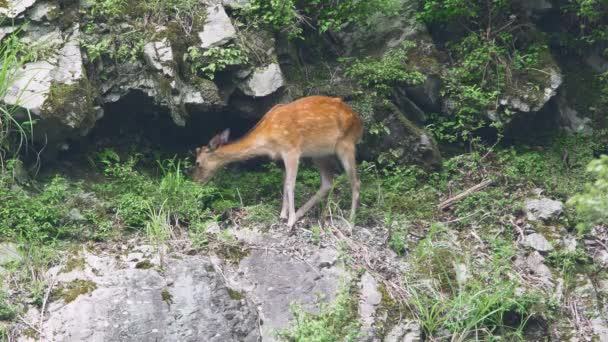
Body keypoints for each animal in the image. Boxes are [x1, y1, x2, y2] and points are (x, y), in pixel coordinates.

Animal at [192, 95, 364, 228]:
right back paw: (303, 213)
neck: (267, 139)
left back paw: (350, 222)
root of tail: (359, 123)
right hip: (319, 153)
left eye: (197, 162)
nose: (195, 182)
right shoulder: (282, 156)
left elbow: (290, 184)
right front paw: (283, 215)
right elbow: (284, 182)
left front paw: (290, 220)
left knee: (355, 182)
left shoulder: (292, 150)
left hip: (347, 144)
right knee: (328, 182)